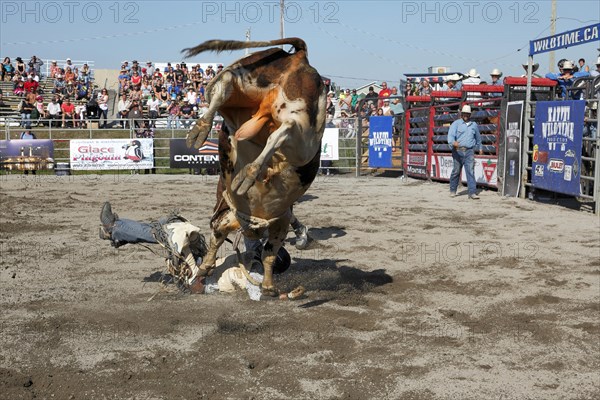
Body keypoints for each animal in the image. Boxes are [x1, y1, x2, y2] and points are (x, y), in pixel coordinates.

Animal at [182, 38, 326, 296]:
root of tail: (299, 58)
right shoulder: (271, 220)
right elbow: (229, 240)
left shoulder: (273, 220)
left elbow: (260, 250)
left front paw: (266, 286)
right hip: (302, 138)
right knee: (283, 127)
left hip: (251, 86)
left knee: (227, 85)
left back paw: (204, 133)